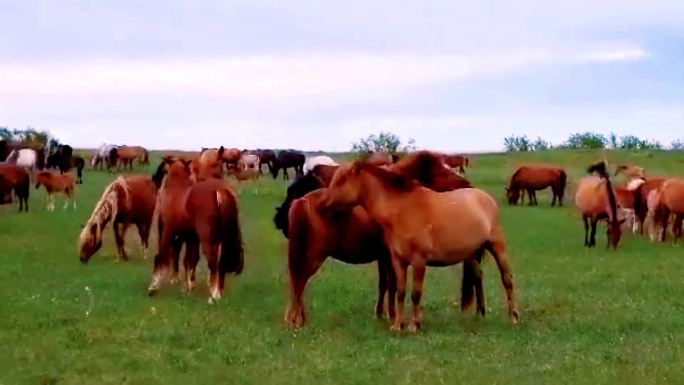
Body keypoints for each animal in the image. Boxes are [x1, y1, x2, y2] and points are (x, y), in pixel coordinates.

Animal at [147, 158, 243, 302]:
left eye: (162, 168)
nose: (155, 180)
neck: (176, 191)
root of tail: (220, 190)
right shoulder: (191, 238)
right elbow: (190, 261)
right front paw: (189, 287)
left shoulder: (168, 231)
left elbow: (161, 256)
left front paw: (153, 286)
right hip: (220, 239)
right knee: (221, 262)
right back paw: (217, 292)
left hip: (207, 238)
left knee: (213, 262)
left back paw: (214, 296)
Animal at [316, 162, 520, 330]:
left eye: (342, 180)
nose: (320, 205)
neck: (402, 210)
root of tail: (484, 196)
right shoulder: (398, 261)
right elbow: (400, 292)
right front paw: (398, 325)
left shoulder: (418, 261)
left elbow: (415, 293)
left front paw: (415, 325)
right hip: (470, 254)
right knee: (478, 277)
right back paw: (480, 315)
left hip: (497, 246)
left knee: (507, 280)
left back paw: (514, 317)